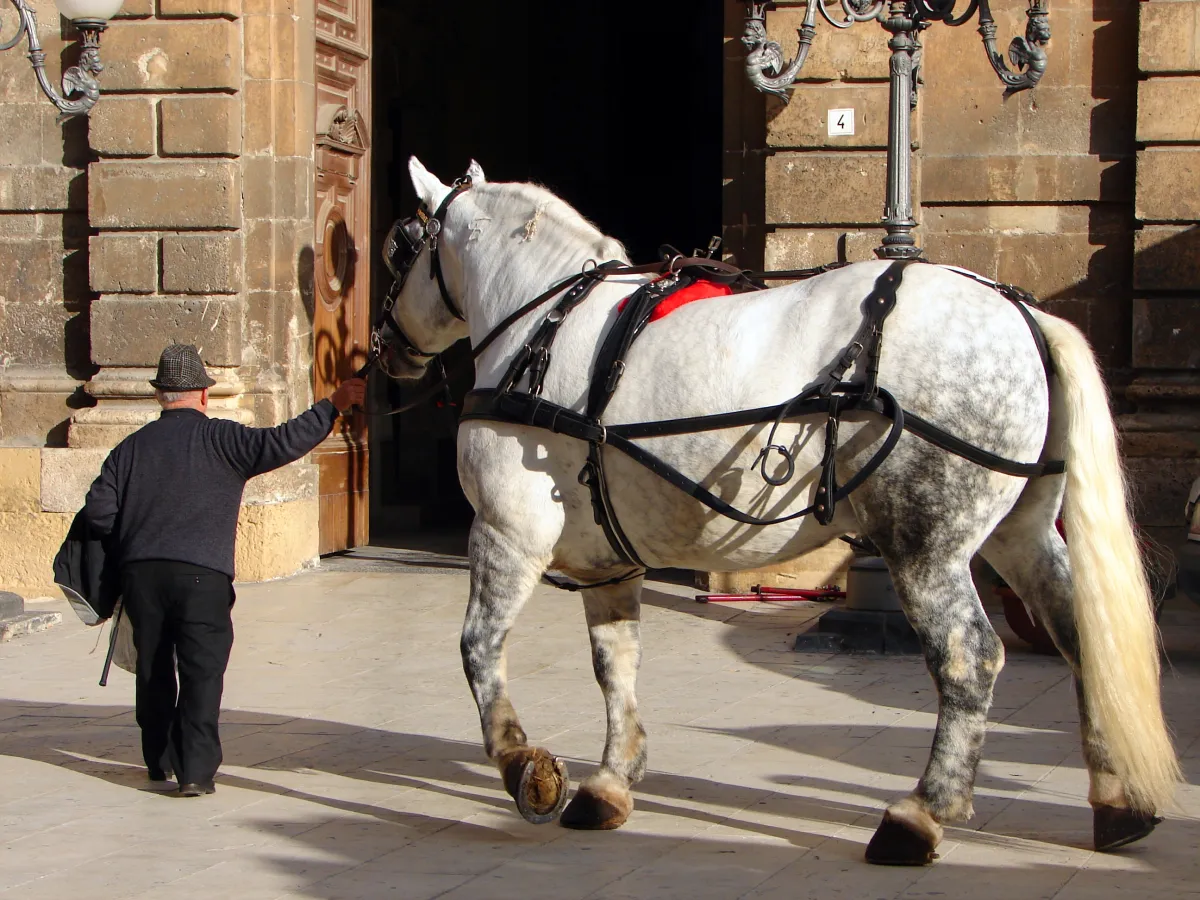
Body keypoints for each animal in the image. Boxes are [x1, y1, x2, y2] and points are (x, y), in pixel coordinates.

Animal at [381, 156, 1179, 865]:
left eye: (399, 245)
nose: (386, 347)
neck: (542, 326)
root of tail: (1023, 314)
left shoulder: (508, 533)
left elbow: (479, 649)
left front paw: (524, 766)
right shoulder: (611, 560)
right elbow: (616, 664)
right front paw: (610, 781)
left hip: (926, 542)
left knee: (968, 658)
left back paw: (920, 815)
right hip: (1021, 532)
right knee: (1082, 637)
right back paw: (1117, 801)